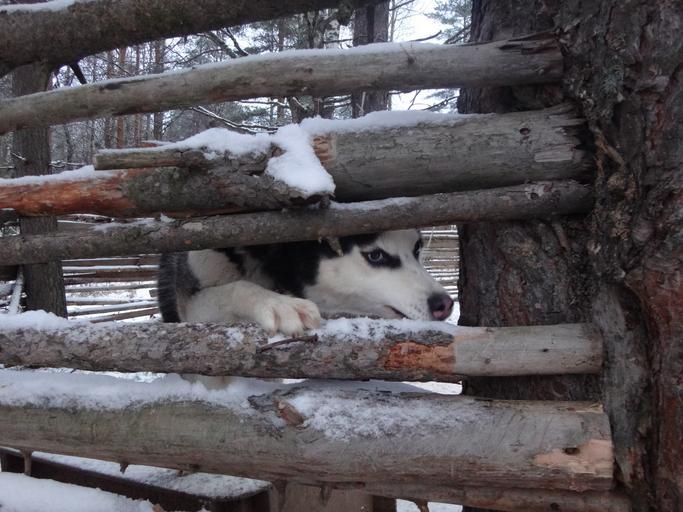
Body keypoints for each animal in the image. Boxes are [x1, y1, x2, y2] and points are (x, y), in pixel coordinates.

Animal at [158, 229, 454, 334]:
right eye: (376, 255)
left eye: (416, 248)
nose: (444, 304)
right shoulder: (192, 303)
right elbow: (237, 288)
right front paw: (280, 304)